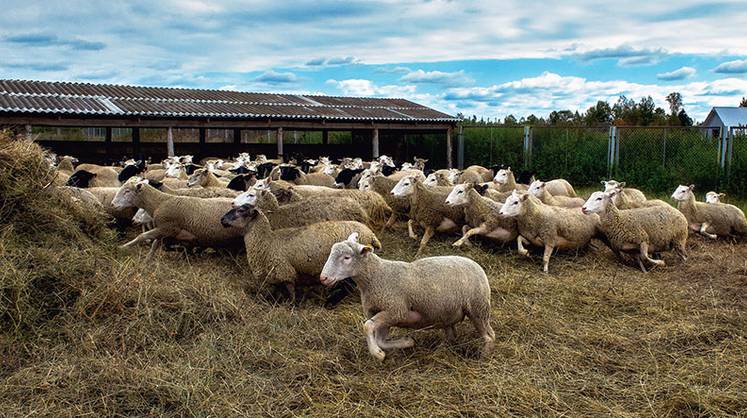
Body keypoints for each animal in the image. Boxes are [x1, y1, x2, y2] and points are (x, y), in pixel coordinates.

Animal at [112, 178, 244, 256]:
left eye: (127, 191)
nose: (112, 204)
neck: (161, 201)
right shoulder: (164, 230)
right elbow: (155, 245)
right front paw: (147, 261)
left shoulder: (167, 228)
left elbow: (142, 236)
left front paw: (122, 247)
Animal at [218, 206, 380, 304]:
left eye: (241, 210)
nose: (222, 220)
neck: (267, 241)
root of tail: (370, 232)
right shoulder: (275, 276)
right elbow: (277, 291)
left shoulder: (285, 272)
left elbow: (290, 292)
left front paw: (291, 305)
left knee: (348, 286)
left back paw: (330, 301)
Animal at [318, 233, 494, 360]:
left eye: (347, 258)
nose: (323, 278)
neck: (377, 276)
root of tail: (477, 265)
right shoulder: (384, 313)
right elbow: (380, 339)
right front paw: (407, 342)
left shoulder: (396, 310)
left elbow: (367, 326)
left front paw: (377, 354)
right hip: (449, 314)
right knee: (452, 335)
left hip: (478, 308)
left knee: (490, 336)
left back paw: (483, 356)